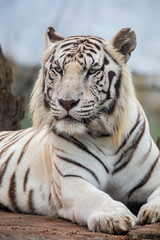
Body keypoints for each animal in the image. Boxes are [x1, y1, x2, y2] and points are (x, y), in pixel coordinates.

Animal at [0, 26, 159, 234]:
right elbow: (97, 197)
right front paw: (113, 217)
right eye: (58, 70)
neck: (106, 136)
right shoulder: (71, 179)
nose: (67, 102)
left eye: (91, 71)